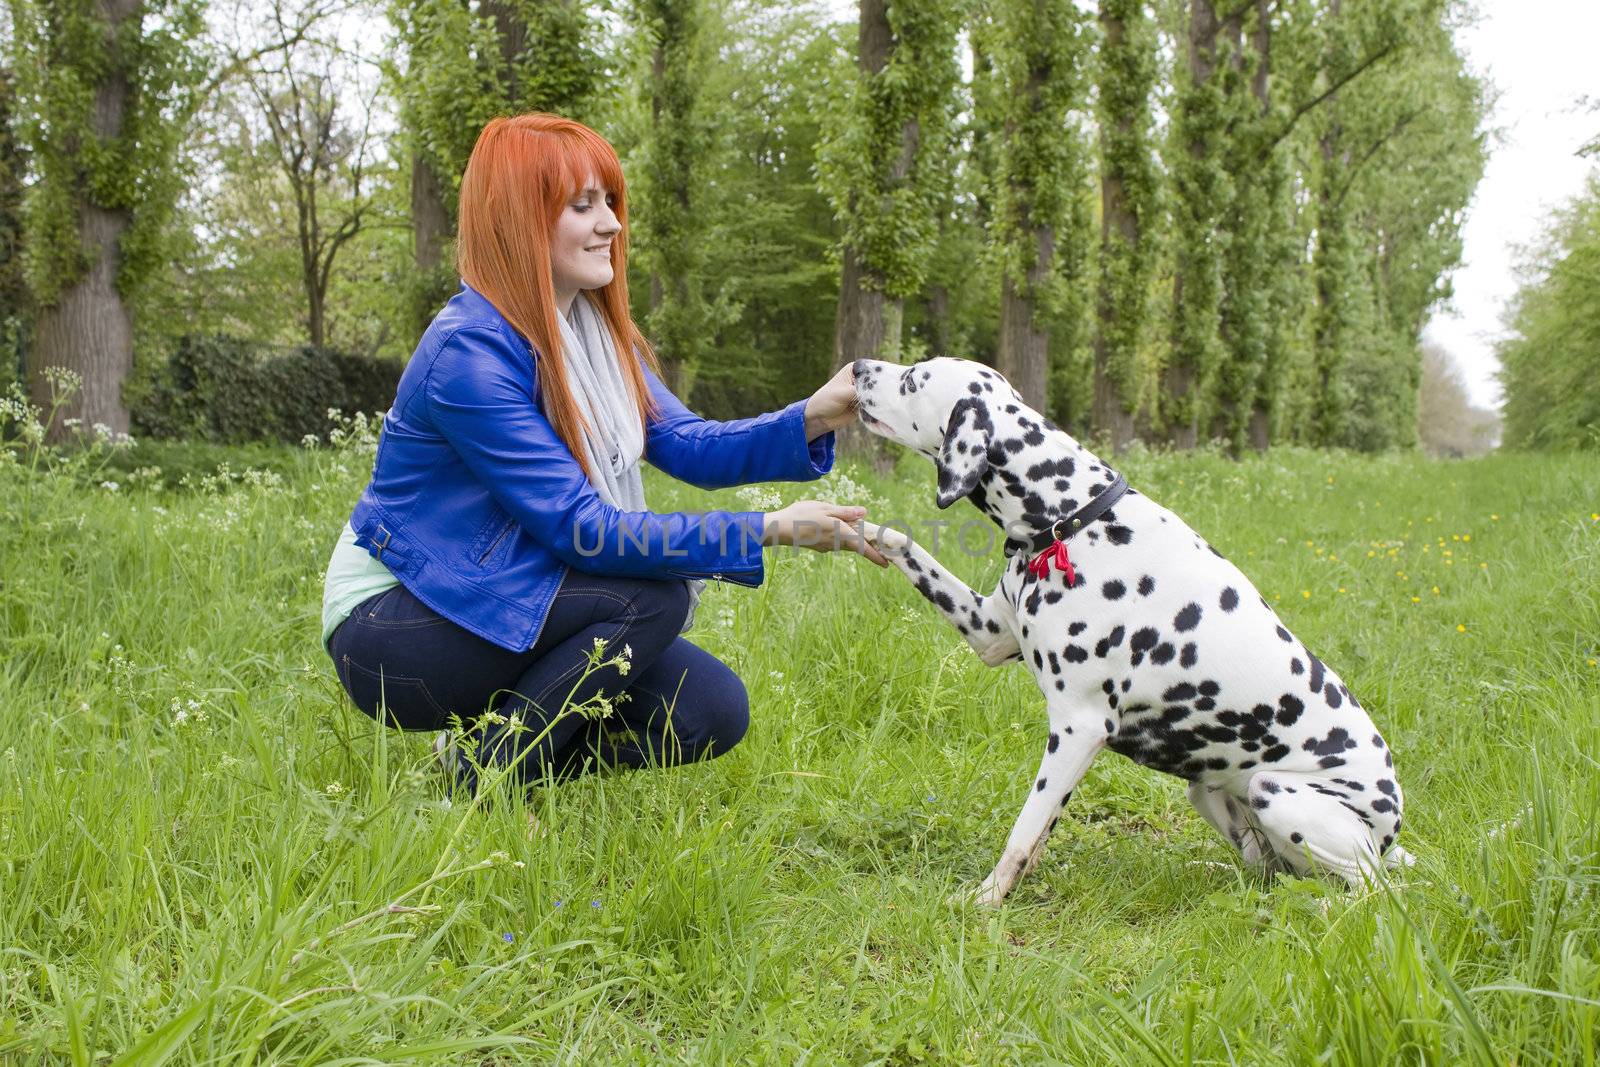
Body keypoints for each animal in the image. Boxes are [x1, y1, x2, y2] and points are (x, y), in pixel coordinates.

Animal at [857, 358, 1408, 908]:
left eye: (912, 379)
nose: (859, 366)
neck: (1070, 518)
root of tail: (1391, 830)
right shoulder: (992, 634)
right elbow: (900, 542)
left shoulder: (1078, 728)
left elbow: (1024, 831)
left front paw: (985, 900)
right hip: (1208, 791)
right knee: (1266, 870)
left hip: (1277, 793)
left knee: (1372, 889)